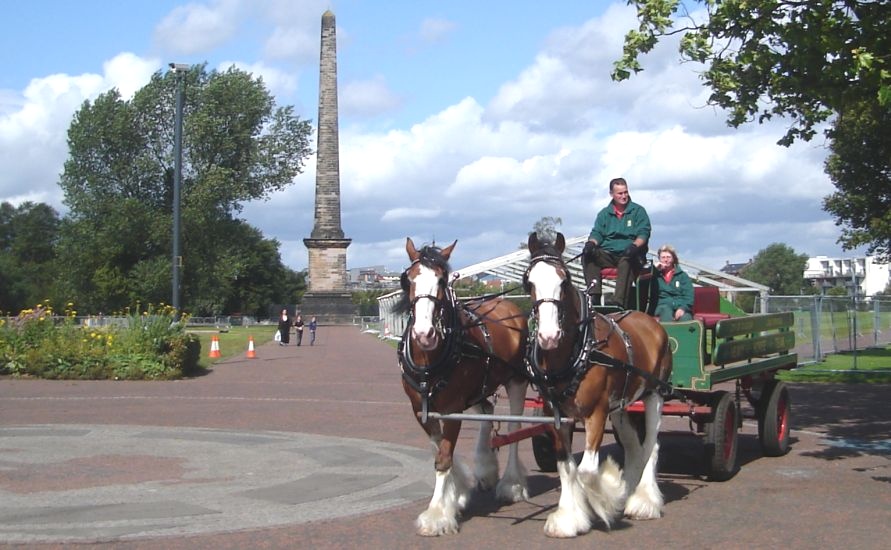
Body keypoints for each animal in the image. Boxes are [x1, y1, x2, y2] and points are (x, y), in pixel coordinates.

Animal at [398, 238, 528, 540]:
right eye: (407, 279)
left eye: (442, 280)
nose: (424, 334)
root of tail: (507, 304)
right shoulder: (420, 410)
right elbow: (439, 450)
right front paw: (455, 496)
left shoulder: (452, 408)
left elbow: (444, 457)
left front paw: (436, 515)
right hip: (481, 384)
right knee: (488, 411)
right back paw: (486, 469)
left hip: (516, 380)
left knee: (514, 429)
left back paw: (511, 484)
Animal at [524, 232, 676, 540]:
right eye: (529, 282)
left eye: (564, 280)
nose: (548, 336)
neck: (579, 350)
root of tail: (649, 320)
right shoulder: (556, 414)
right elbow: (566, 466)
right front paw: (569, 518)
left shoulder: (596, 412)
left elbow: (586, 470)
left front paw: (608, 494)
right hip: (622, 406)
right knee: (634, 446)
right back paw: (631, 490)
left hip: (654, 394)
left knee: (651, 446)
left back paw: (643, 501)